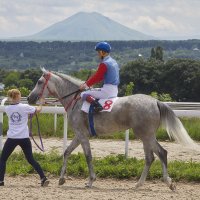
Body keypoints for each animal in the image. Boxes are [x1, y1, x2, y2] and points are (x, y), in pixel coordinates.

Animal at [27, 68, 198, 191]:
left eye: (39, 81)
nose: (29, 98)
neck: (76, 100)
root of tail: (155, 101)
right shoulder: (79, 135)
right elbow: (67, 152)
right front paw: (61, 179)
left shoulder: (82, 135)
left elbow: (88, 156)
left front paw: (90, 181)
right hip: (146, 136)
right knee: (151, 157)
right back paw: (139, 184)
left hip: (146, 135)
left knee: (161, 153)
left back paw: (167, 182)